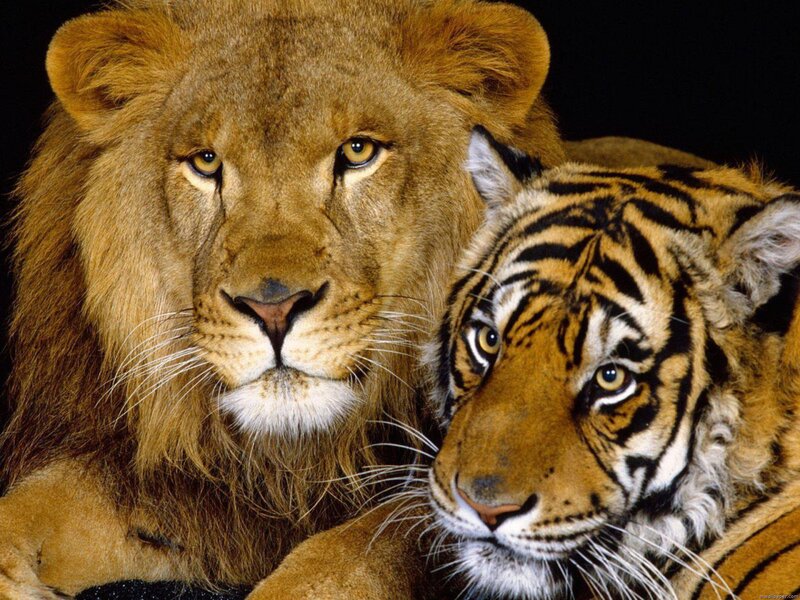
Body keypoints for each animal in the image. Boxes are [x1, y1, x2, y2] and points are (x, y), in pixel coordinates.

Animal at [0, 0, 711, 597]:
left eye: (359, 151)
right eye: (205, 162)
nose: (274, 307)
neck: (298, 459)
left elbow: (358, 552)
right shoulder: (187, 489)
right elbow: (30, 509)